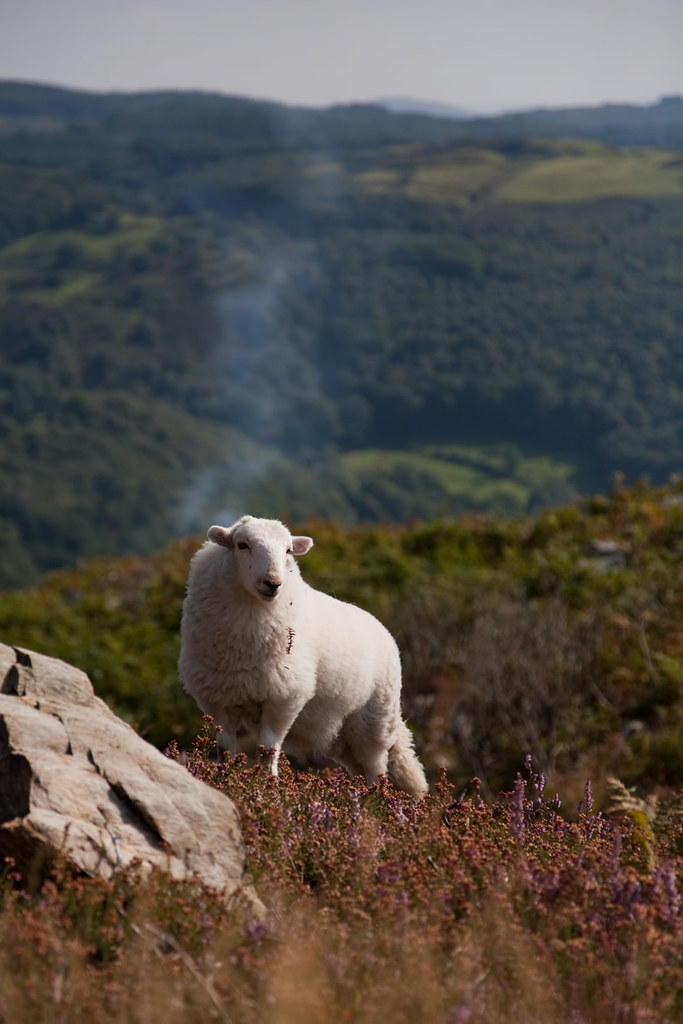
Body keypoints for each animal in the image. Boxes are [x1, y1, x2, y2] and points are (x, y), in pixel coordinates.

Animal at [178, 515, 428, 799]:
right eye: (242, 545)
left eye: (288, 550)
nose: (273, 583)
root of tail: (383, 629)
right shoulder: (219, 701)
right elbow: (225, 752)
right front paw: (224, 782)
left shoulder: (284, 697)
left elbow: (268, 751)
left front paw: (266, 787)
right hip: (340, 733)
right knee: (359, 769)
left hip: (374, 719)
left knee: (376, 768)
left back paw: (375, 803)